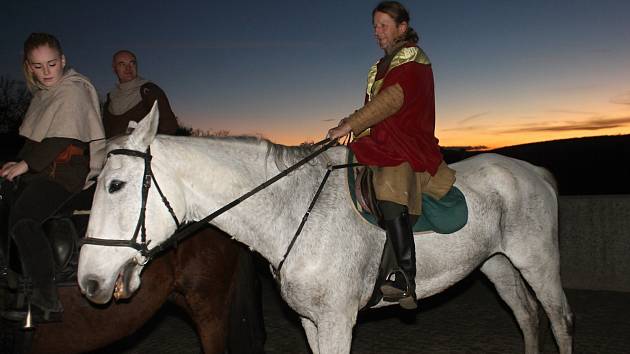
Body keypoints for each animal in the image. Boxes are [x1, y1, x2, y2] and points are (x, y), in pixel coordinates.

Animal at [76, 106, 576, 354]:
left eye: (116, 185)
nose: (89, 282)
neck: (292, 209)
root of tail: (533, 170)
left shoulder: (338, 319)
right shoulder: (311, 320)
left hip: (537, 260)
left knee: (559, 320)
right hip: (496, 263)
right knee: (528, 317)